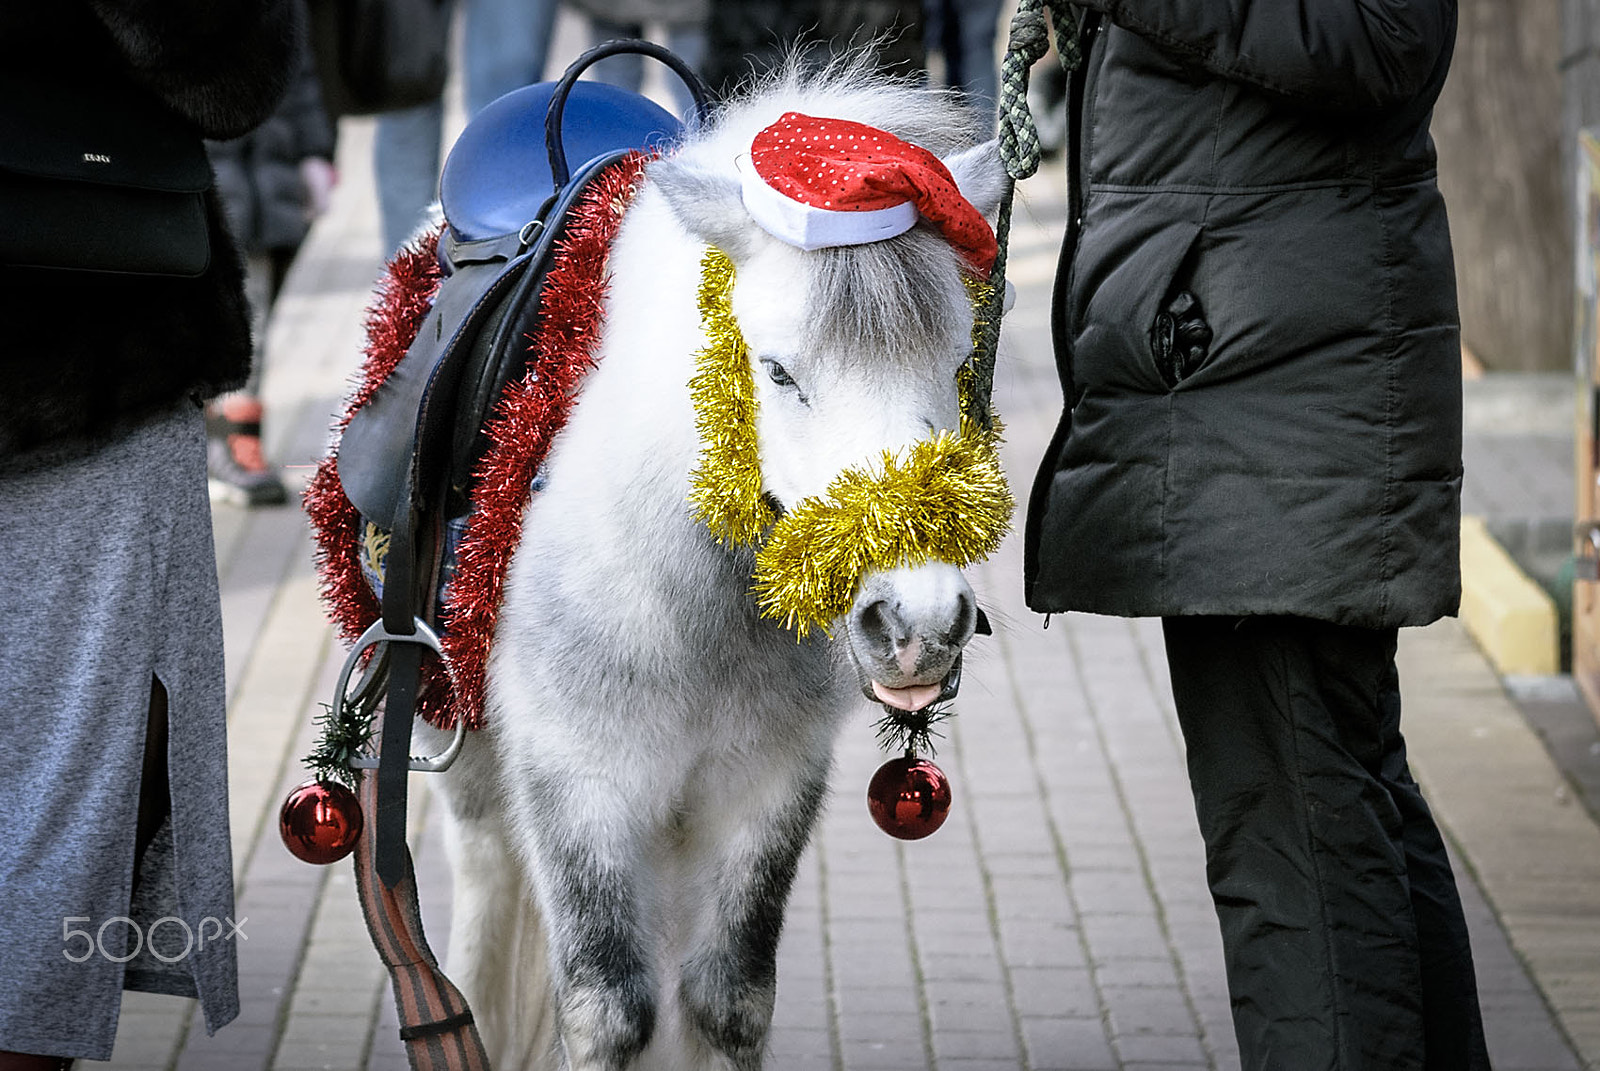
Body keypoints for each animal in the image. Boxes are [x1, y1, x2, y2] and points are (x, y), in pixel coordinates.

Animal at [419, 62, 1004, 1062]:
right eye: (775, 372)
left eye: (960, 360)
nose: (918, 623)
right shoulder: (577, 781)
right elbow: (608, 1005)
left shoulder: (767, 788)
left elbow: (729, 995)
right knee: (488, 884)